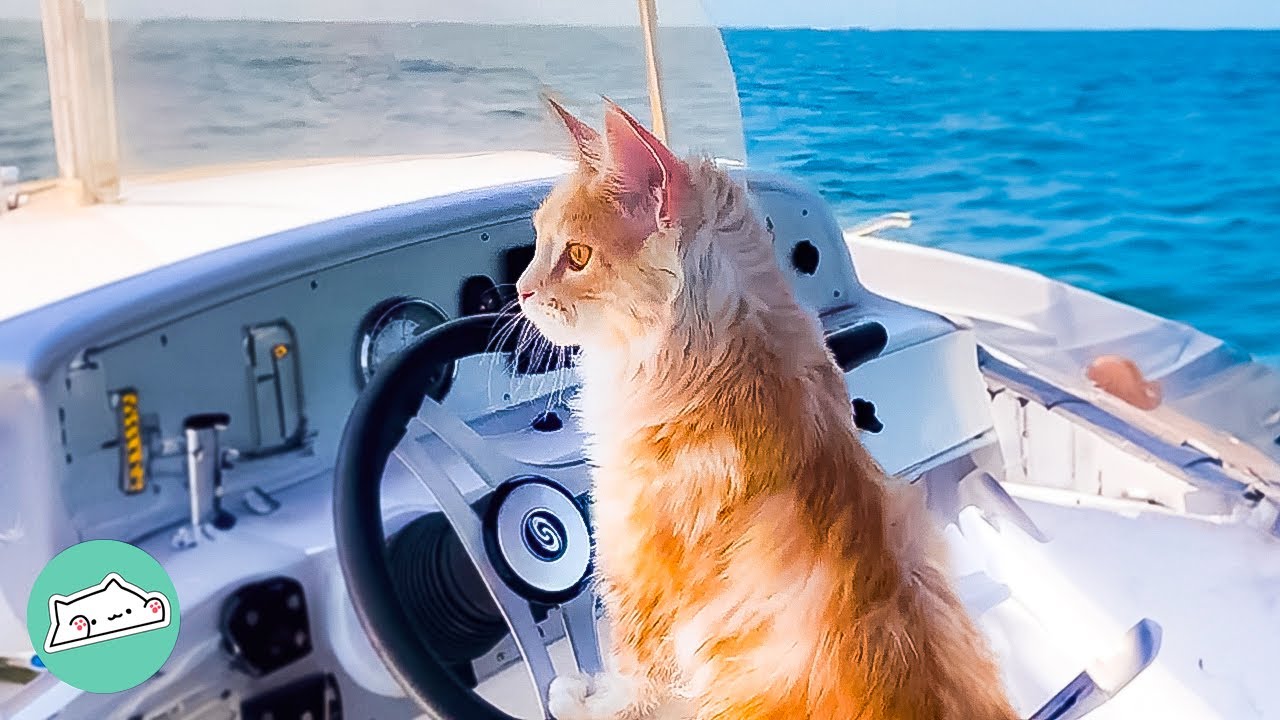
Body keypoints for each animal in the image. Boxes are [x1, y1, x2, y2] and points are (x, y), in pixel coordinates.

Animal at [514, 99, 1013, 717]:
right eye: (535, 245)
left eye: (577, 257)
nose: (518, 290)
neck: (725, 364)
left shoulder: (639, 585)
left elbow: (631, 682)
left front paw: (582, 697)